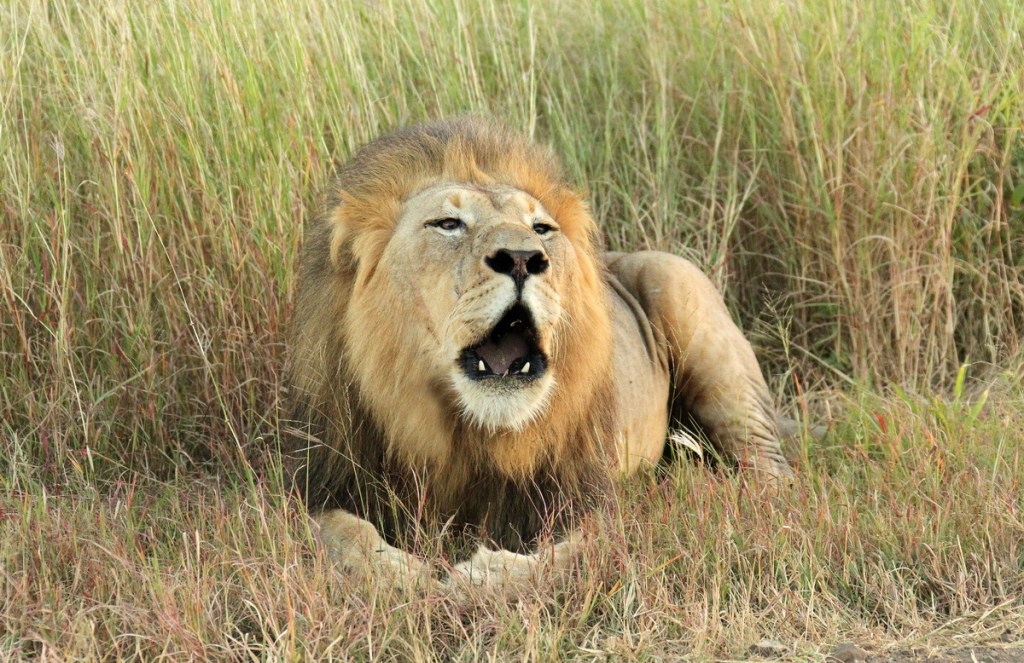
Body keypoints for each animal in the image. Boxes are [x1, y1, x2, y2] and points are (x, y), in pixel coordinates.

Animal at [283, 118, 792, 589]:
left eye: (541, 229)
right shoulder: (323, 487)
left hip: (684, 295)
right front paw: (399, 575)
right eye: (448, 224)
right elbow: (339, 535)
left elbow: (568, 558)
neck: (470, 431)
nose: (523, 258)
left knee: (773, 473)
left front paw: (480, 577)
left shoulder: (587, 498)